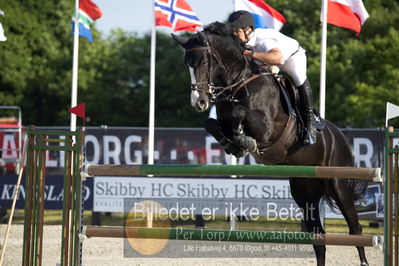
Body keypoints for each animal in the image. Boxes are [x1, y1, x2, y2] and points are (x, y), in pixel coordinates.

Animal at [173, 22, 370, 266]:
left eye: (202, 62)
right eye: (186, 65)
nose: (198, 102)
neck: (239, 83)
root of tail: (341, 137)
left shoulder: (267, 128)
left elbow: (239, 113)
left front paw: (244, 141)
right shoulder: (221, 119)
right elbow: (211, 124)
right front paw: (234, 144)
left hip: (338, 186)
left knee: (355, 228)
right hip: (305, 192)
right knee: (318, 237)